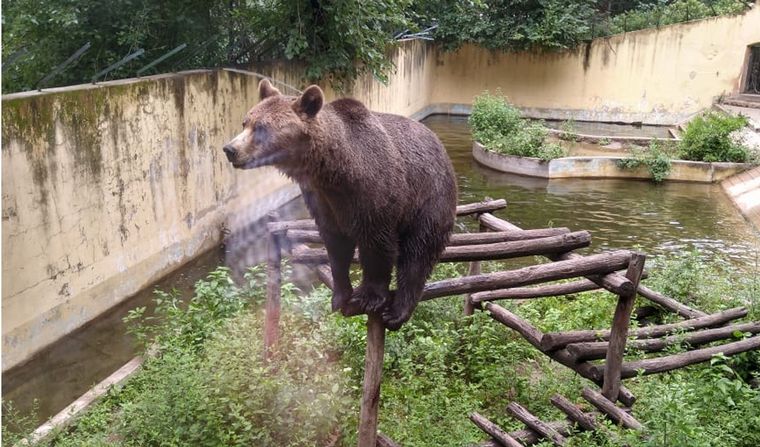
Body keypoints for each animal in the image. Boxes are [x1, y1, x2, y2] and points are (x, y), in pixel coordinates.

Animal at [222, 79, 457, 330]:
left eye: (262, 128)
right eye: (245, 122)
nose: (230, 149)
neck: (336, 172)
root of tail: (440, 146)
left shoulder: (374, 194)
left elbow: (378, 244)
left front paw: (370, 296)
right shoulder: (322, 200)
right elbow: (336, 246)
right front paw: (339, 296)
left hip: (430, 199)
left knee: (418, 252)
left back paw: (398, 311)